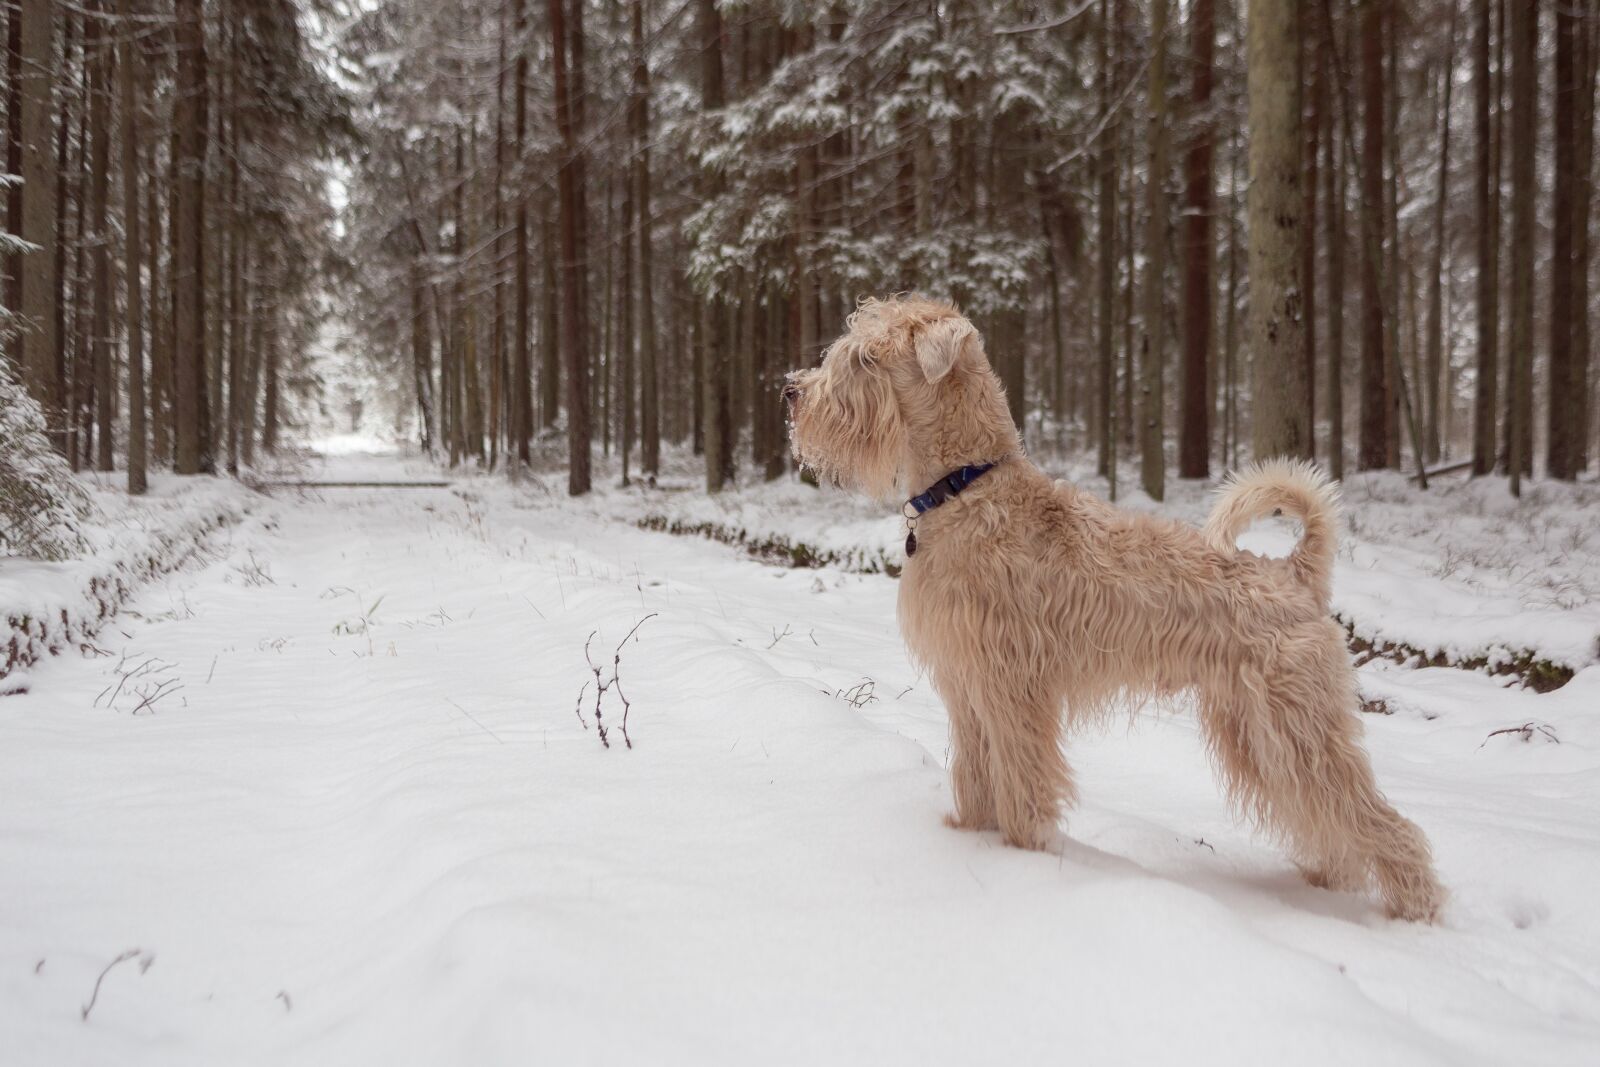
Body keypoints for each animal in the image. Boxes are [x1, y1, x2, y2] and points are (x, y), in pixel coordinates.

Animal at [787, 295, 1452, 921]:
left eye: (865, 357)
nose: (792, 391)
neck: (966, 490)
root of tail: (1296, 573)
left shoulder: (1012, 690)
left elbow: (1022, 784)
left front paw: (1021, 857)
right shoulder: (968, 687)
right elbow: (976, 777)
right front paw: (969, 836)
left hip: (1297, 726)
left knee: (1379, 820)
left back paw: (1413, 910)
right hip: (1255, 730)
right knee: (1328, 818)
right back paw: (1328, 882)